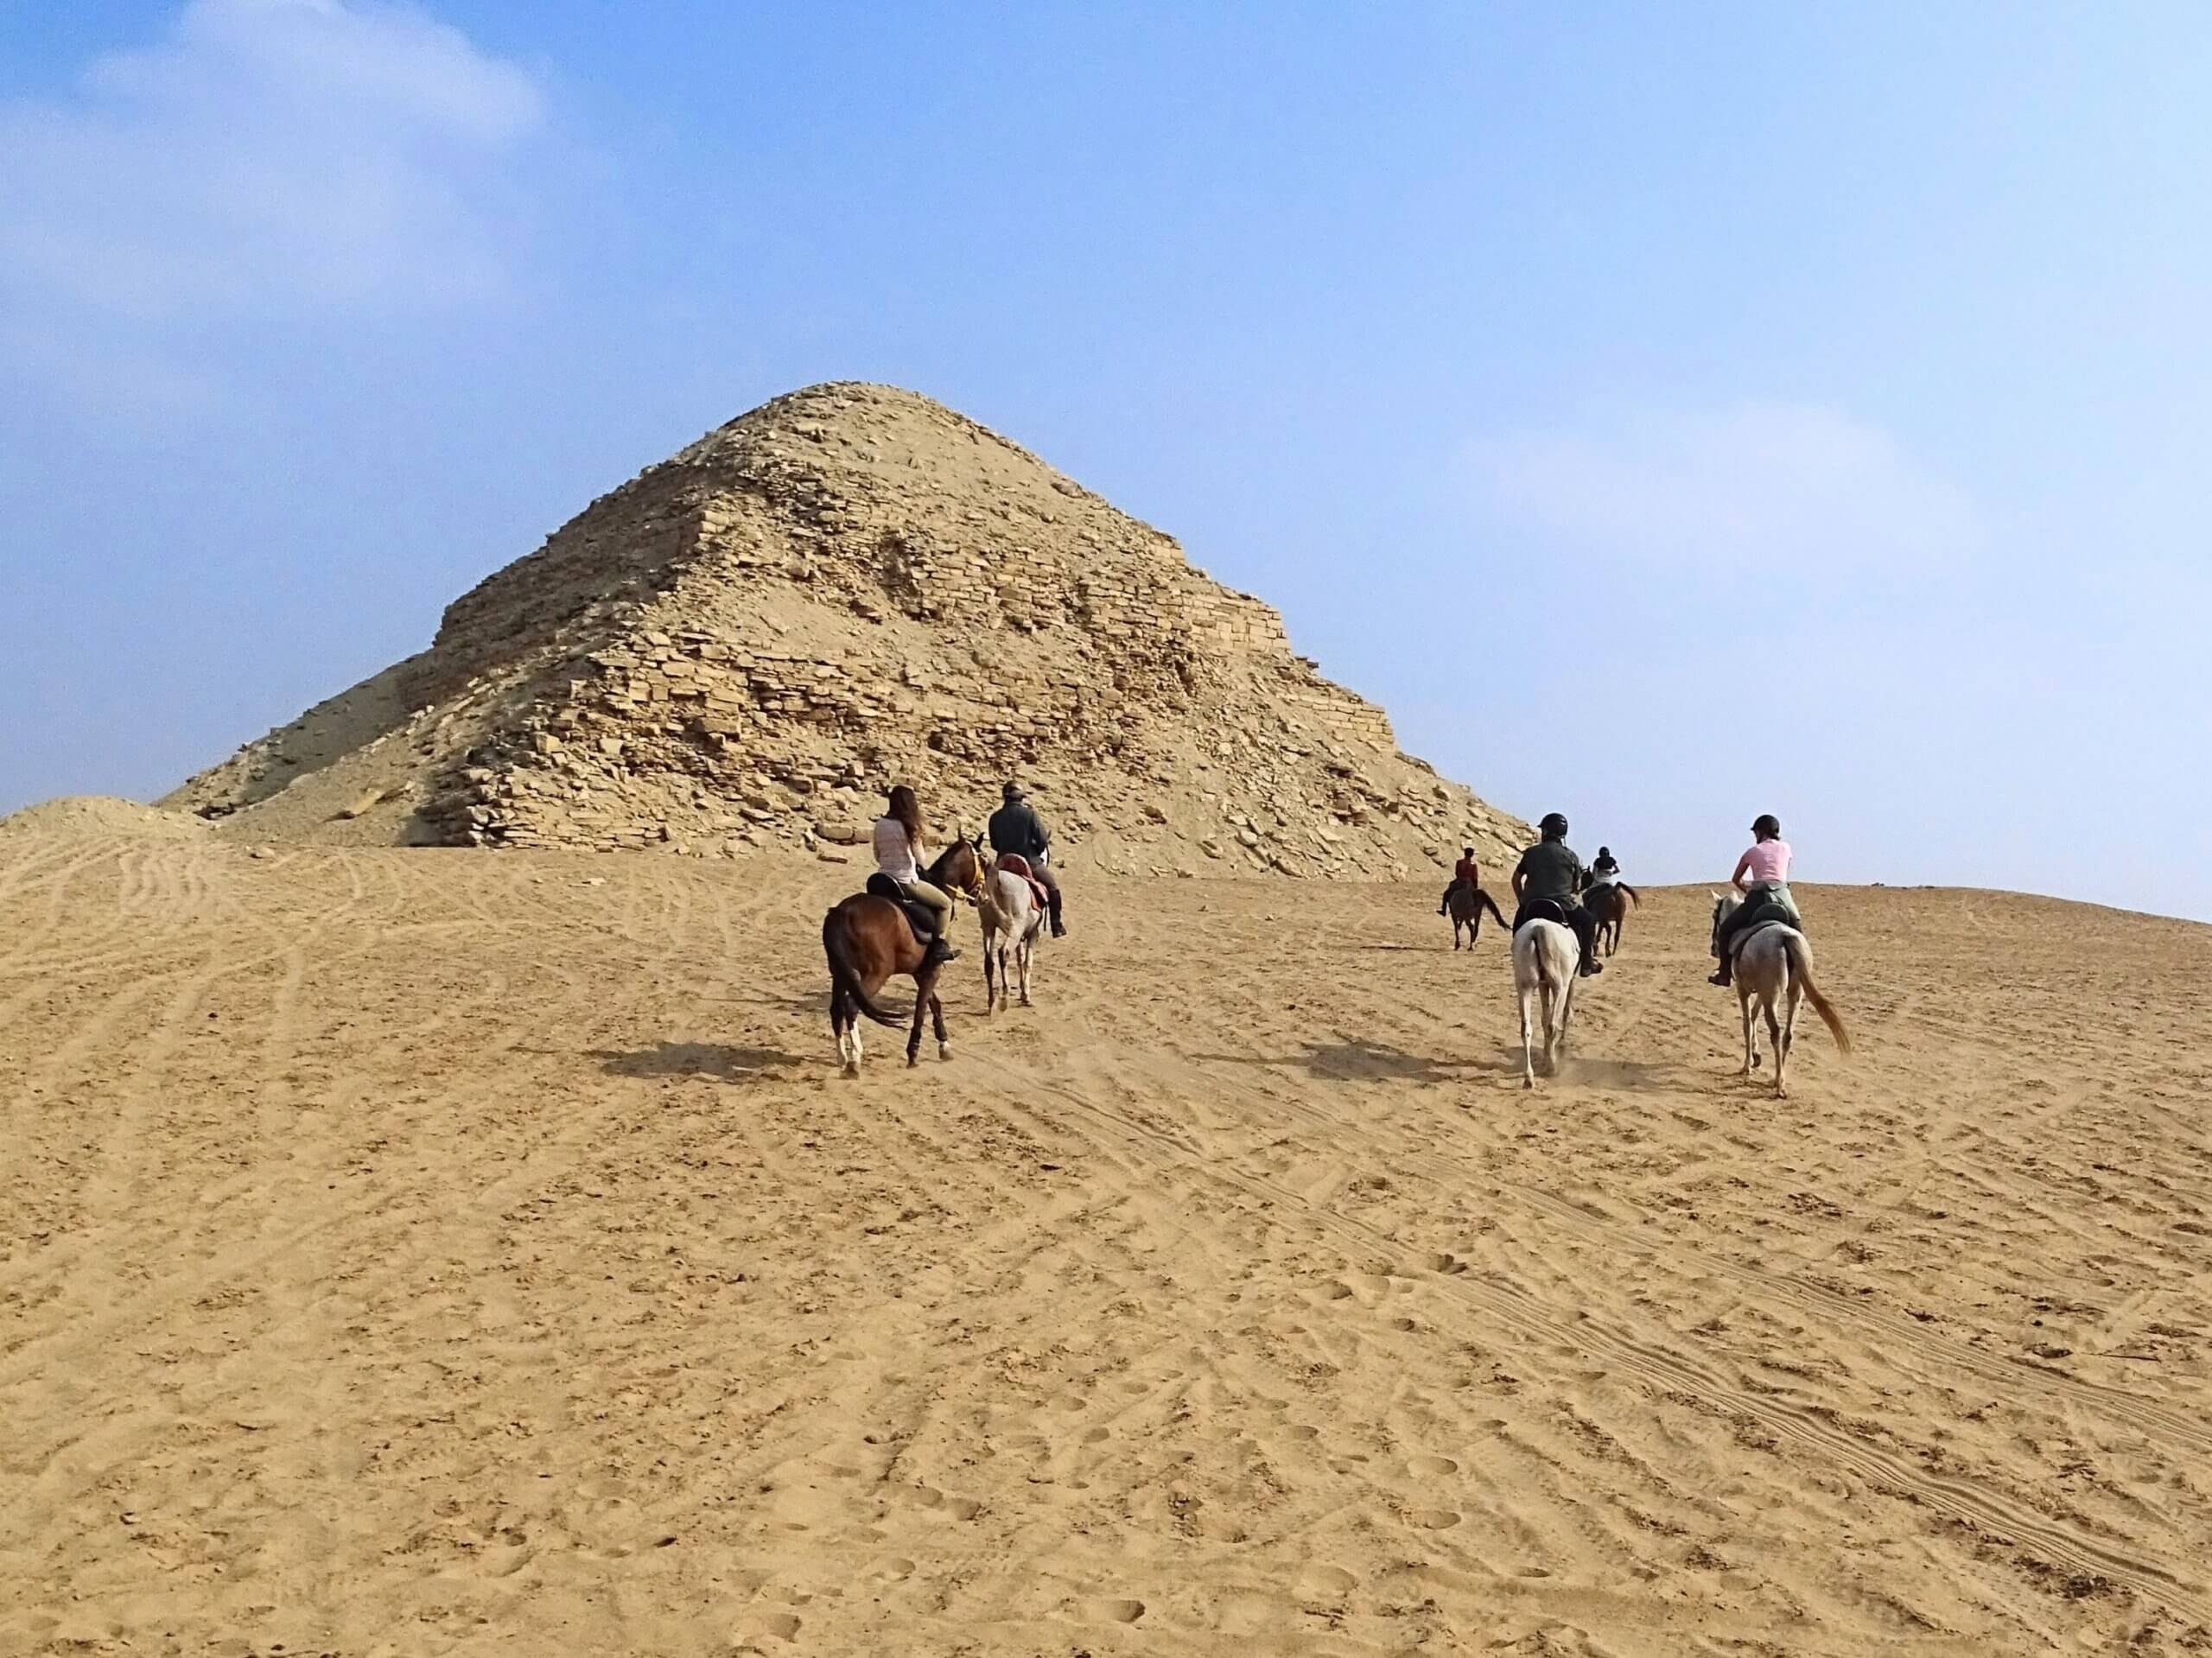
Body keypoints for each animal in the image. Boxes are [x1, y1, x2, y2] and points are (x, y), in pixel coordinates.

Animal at [977, 861, 1044, 1021]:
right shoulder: (1033, 934)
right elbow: (1028, 962)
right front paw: (1026, 995)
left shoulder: (1020, 937)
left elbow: (1020, 960)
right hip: (1015, 927)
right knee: (1004, 952)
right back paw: (1004, 998)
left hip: (989, 927)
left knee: (989, 962)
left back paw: (991, 1002)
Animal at [1513, 911, 1583, 1091]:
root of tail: (1538, 930)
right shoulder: (1568, 982)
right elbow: (1563, 1013)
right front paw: (1561, 1044)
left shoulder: (1543, 985)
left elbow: (1544, 1017)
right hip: (1560, 987)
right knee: (1553, 1025)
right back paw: (1552, 1067)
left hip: (1524, 986)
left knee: (1526, 1028)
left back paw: (1529, 1078)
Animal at [1707, 897, 1849, 1105]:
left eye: (1714, 915)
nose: (1713, 949)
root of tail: (1785, 936)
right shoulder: (1762, 992)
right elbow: (1754, 1016)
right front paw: (1756, 1057)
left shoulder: (1744, 989)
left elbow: (1747, 1023)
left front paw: (1747, 1065)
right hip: (1794, 994)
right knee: (1788, 1034)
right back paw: (1779, 1079)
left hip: (1772, 994)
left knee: (1775, 1031)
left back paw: (1778, 1085)